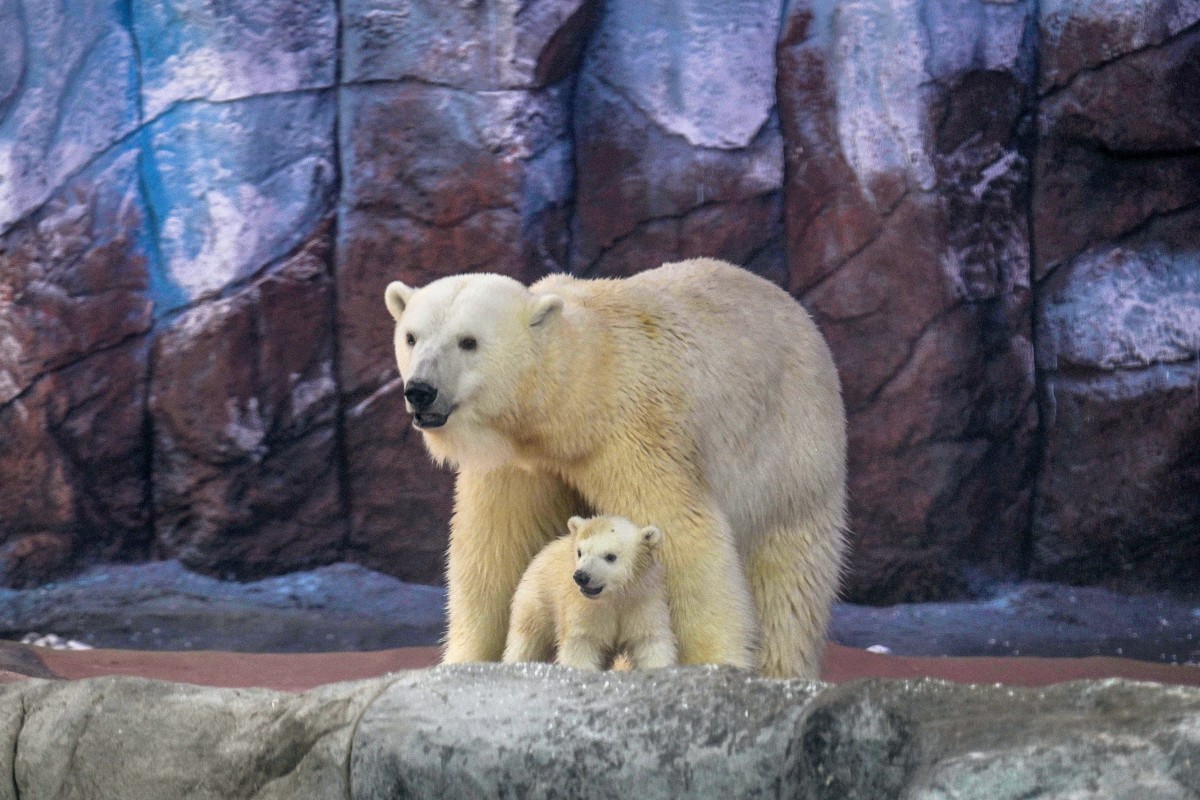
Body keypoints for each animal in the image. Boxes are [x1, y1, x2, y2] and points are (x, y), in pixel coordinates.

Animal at [503, 514, 676, 671]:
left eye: (610, 556)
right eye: (580, 552)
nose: (581, 576)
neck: (615, 596)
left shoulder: (643, 602)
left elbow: (649, 641)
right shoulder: (583, 608)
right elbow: (582, 642)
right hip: (537, 598)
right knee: (527, 639)